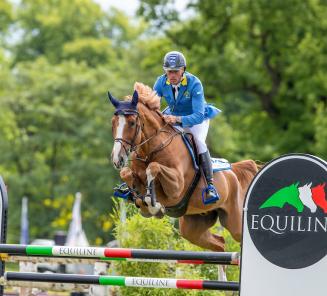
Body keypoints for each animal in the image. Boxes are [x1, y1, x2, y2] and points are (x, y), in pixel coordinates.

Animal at [109, 82, 260, 252]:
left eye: (132, 123)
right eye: (113, 123)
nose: (117, 159)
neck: (150, 150)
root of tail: (233, 172)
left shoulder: (176, 187)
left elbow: (154, 167)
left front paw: (153, 204)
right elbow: (126, 173)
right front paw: (142, 199)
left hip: (234, 221)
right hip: (193, 226)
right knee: (220, 243)